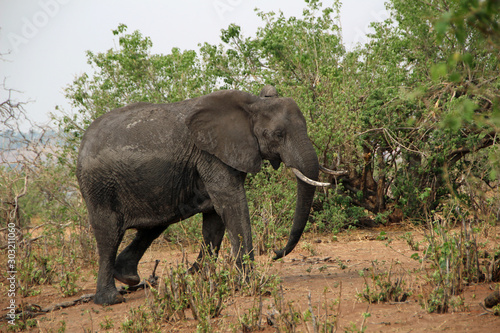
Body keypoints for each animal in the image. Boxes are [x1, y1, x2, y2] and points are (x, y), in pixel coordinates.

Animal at [76, 85, 330, 304]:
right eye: (278, 134)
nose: (276, 253)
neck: (253, 104)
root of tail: (82, 143)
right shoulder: (211, 154)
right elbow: (231, 204)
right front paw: (249, 282)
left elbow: (215, 217)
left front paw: (199, 278)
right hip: (99, 185)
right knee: (109, 234)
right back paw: (110, 299)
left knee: (156, 224)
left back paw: (128, 277)